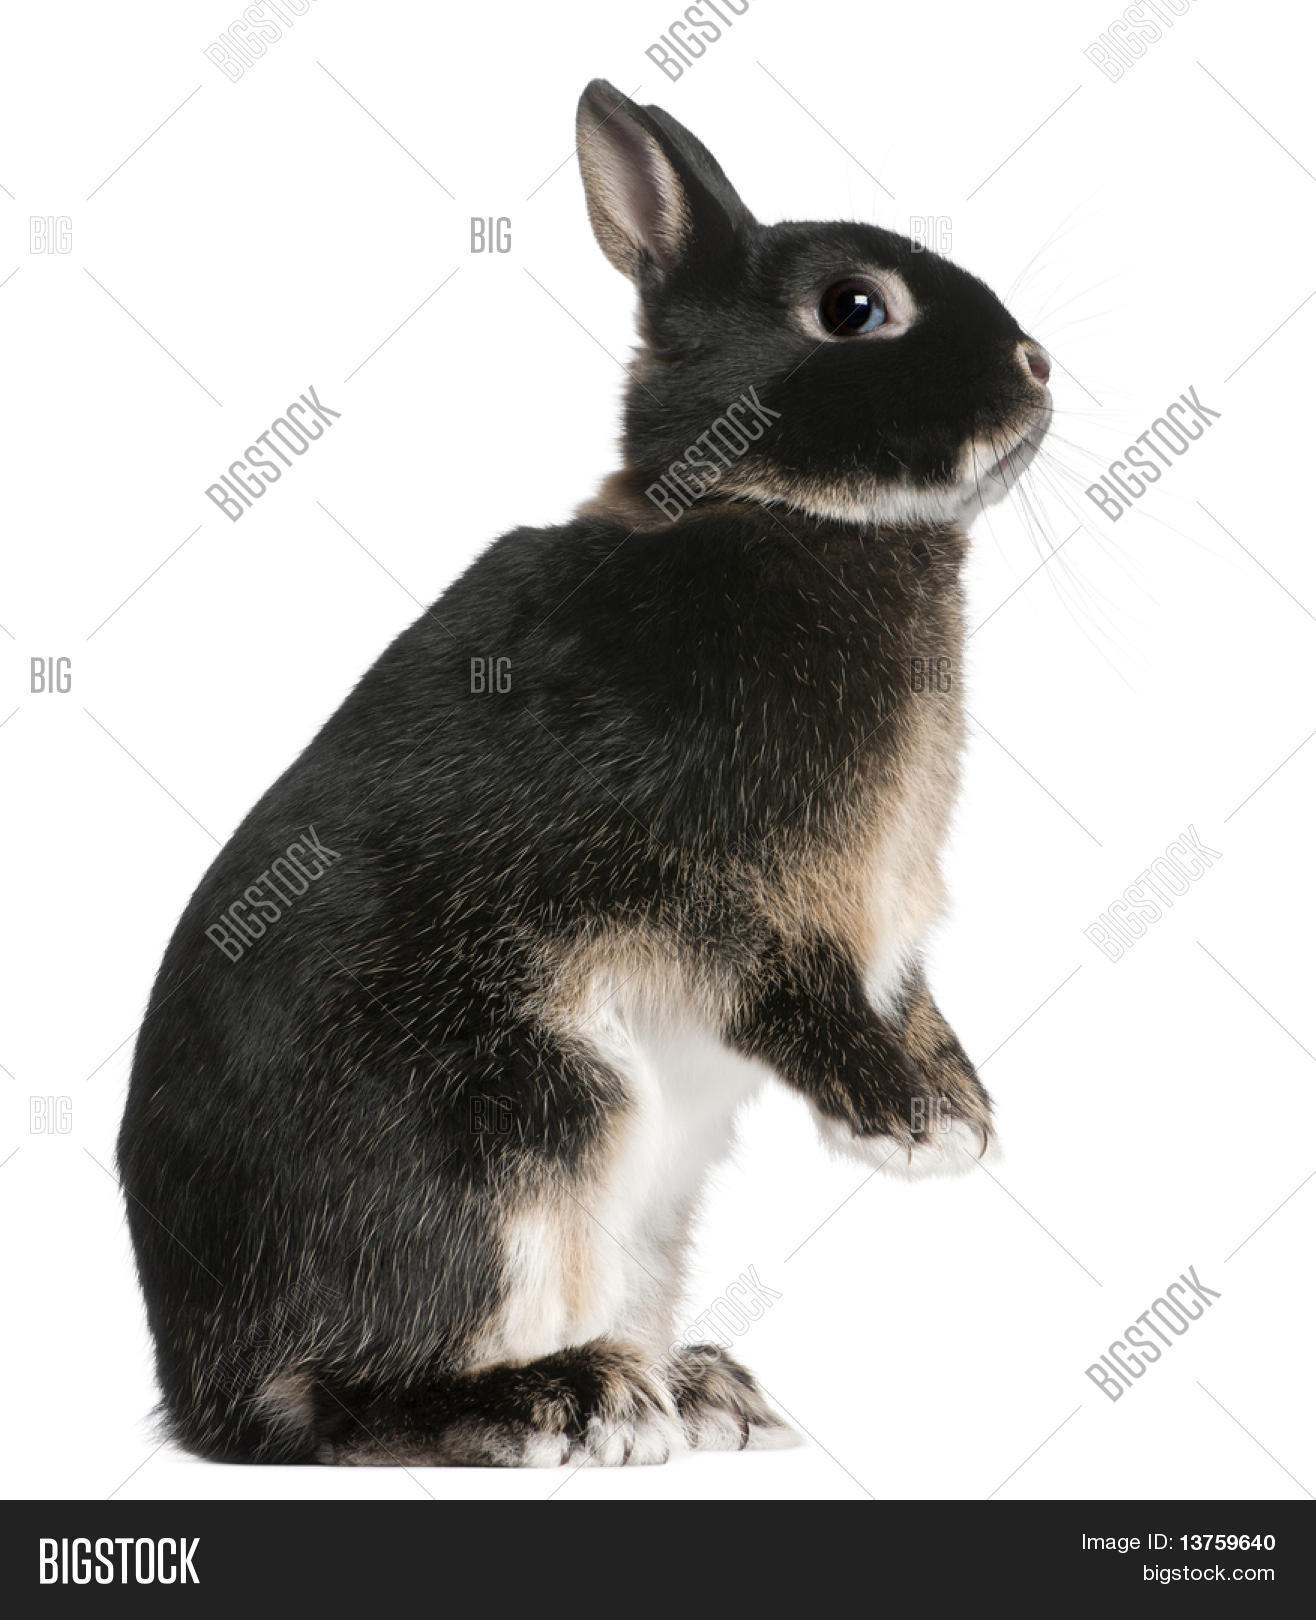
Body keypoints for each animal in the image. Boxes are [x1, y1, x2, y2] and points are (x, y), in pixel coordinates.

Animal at [117, 78, 1052, 1467]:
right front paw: (913, 1126)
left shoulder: (876, 922)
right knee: (334, 1402)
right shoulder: (707, 887)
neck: (763, 506)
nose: (1036, 365)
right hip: (519, 1114)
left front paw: (957, 1097)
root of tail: (193, 1382)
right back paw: (569, 1398)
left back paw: (699, 1388)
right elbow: (785, 985)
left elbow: (909, 993)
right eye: (850, 308)